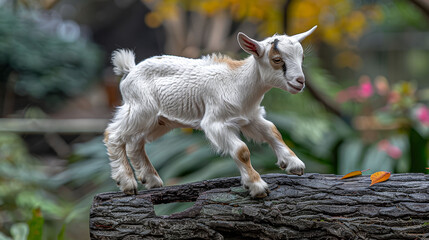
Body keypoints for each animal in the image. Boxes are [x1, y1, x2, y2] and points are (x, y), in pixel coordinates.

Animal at [104, 26, 314, 199]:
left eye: (302, 58)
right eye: (277, 60)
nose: (300, 82)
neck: (237, 83)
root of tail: (129, 70)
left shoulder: (250, 117)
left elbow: (272, 131)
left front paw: (293, 164)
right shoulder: (215, 123)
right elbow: (241, 150)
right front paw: (256, 186)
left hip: (159, 121)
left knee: (135, 143)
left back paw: (151, 180)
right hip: (140, 109)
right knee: (113, 135)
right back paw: (127, 182)